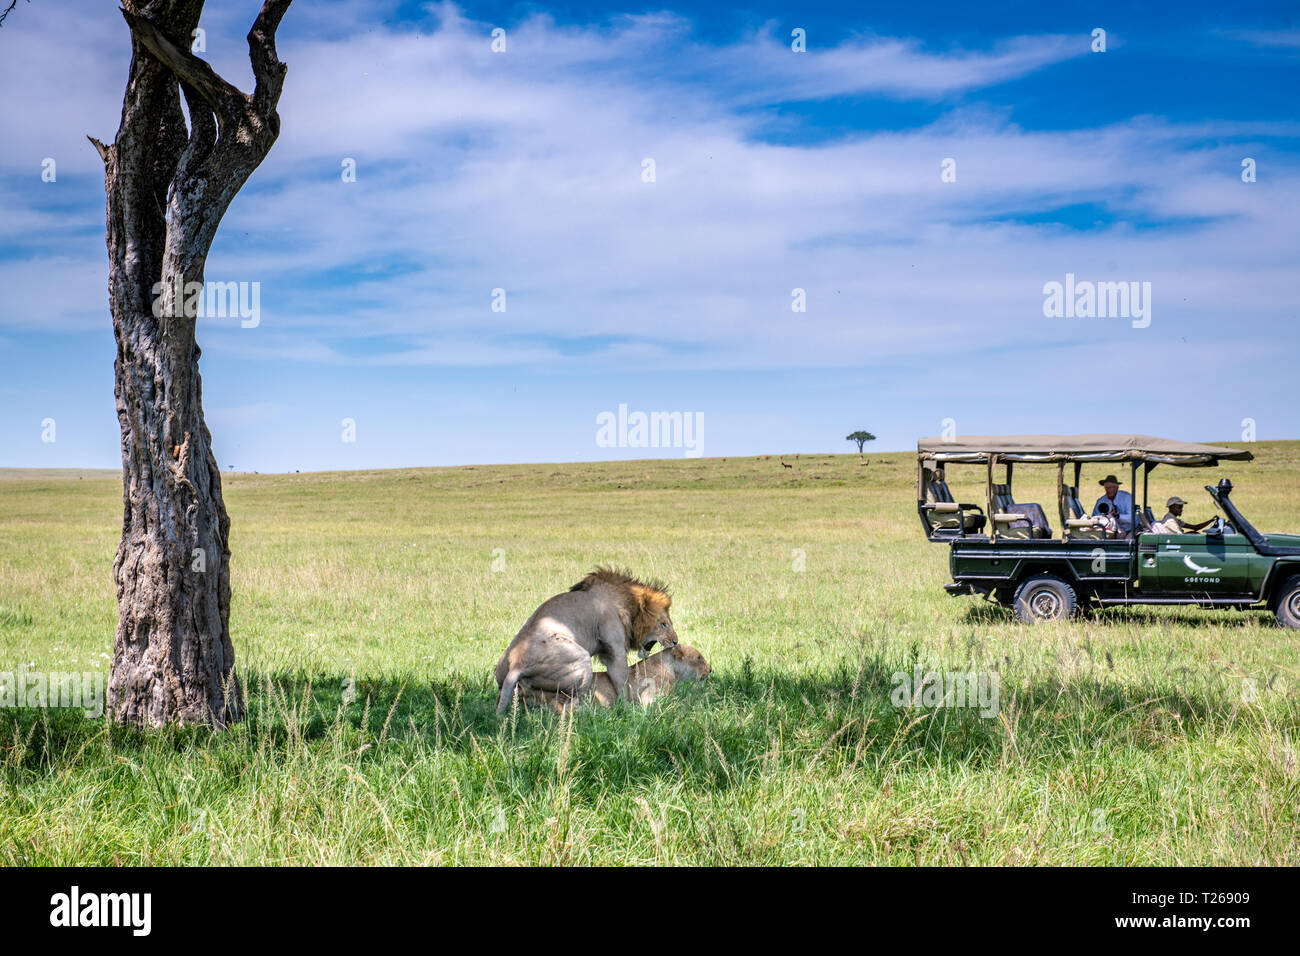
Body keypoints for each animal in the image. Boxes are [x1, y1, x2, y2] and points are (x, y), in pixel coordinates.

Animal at [494, 567, 678, 713]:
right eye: (664, 624)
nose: (676, 641)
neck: (626, 603)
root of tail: (517, 665)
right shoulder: (615, 650)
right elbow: (622, 682)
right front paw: (629, 709)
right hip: (582, 662)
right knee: (569, 705)